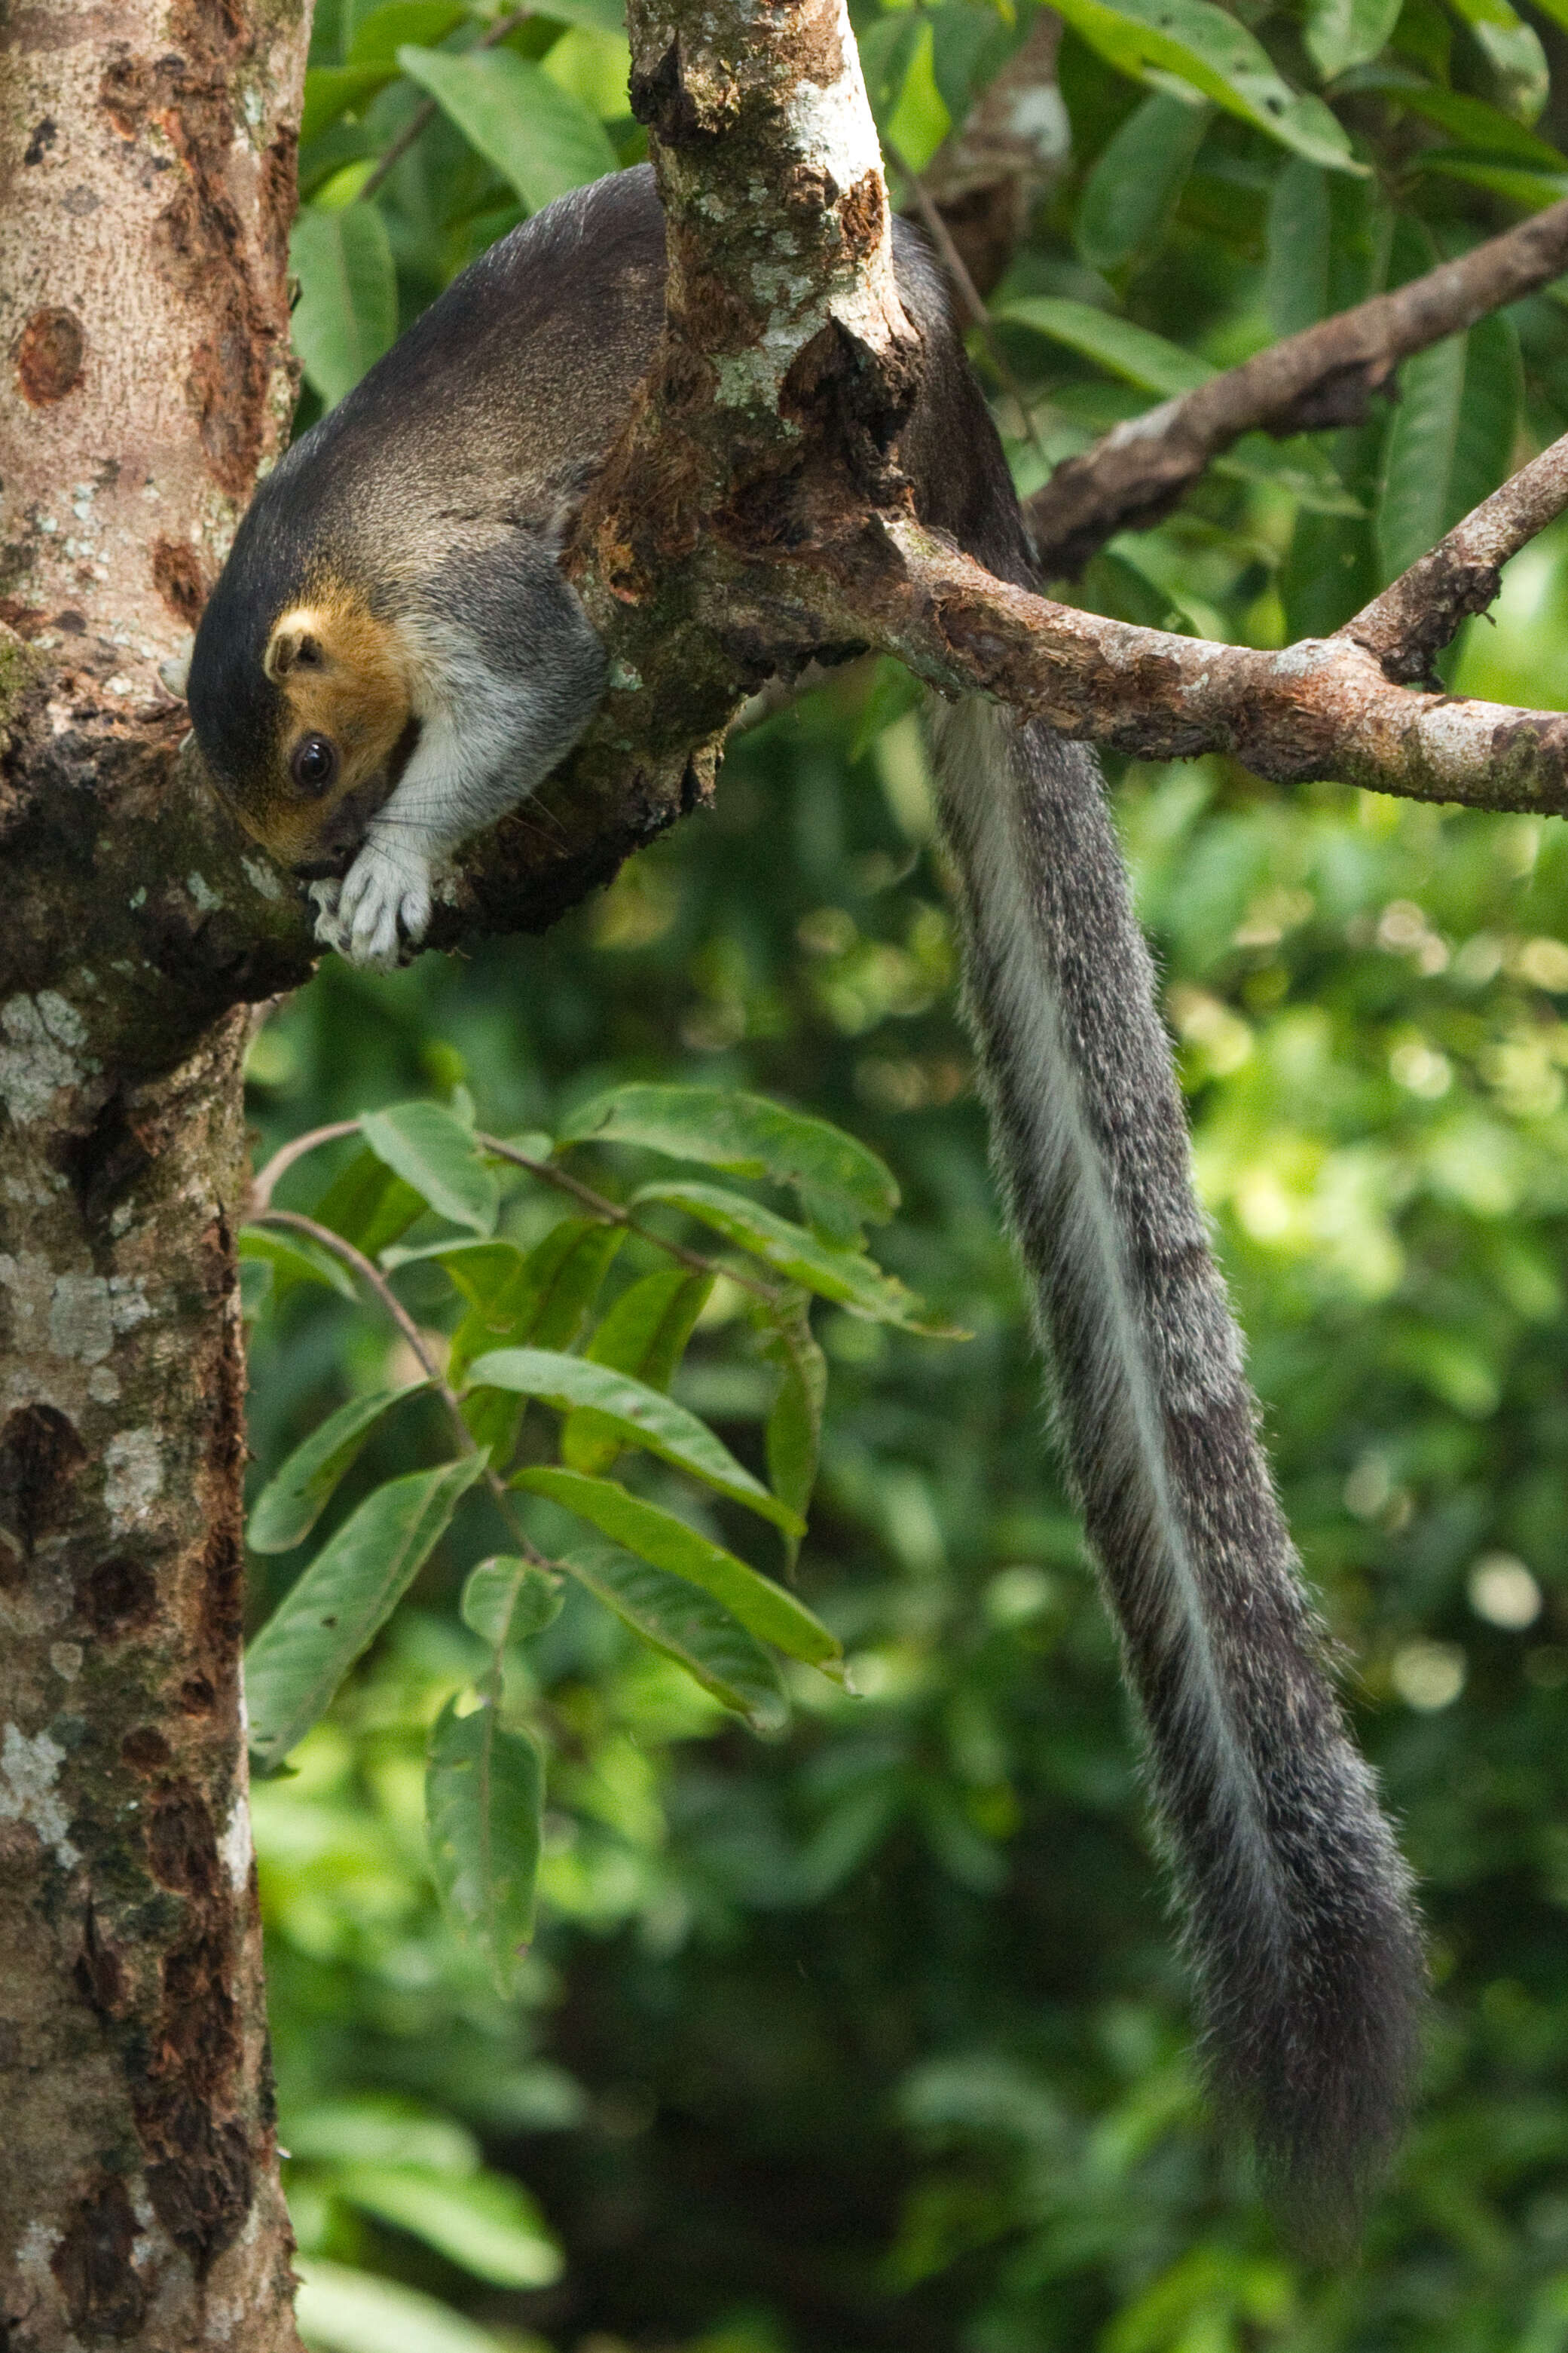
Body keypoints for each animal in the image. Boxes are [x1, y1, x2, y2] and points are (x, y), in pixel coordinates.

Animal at [181, 161, 1420, 2221]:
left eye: (313, 755)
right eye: (270, 788)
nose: (311, 847)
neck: (326, 560)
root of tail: (970, 441)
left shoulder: (484, 604)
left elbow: (538, 697)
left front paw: (403, 859)